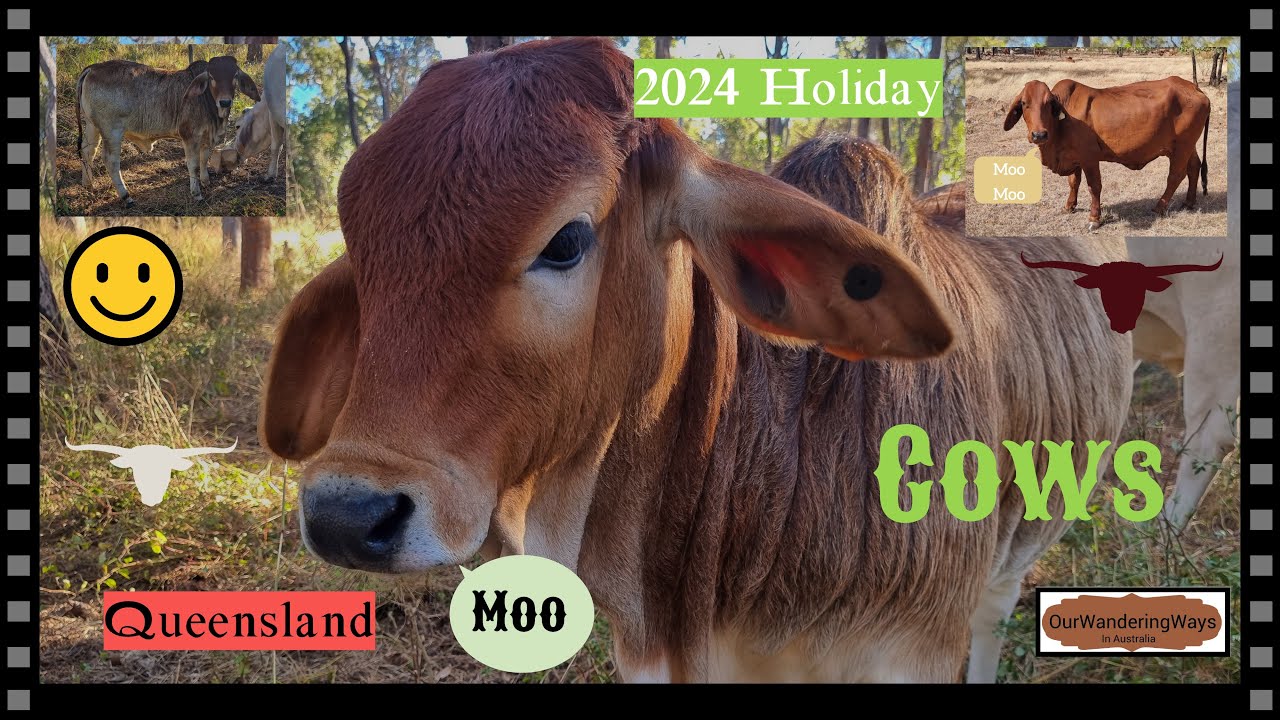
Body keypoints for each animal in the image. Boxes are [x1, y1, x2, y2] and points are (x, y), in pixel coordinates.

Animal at [76, 55, 261, 205]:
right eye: (211, 76)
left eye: (235, 75)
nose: (225, 102)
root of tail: (93, 67)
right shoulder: (190, 135)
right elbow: (193, 164)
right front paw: (196, 193)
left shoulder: (207, 137)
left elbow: (204, 158)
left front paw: (205, 180)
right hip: (112, 131)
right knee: (111, 161)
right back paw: (126, 196)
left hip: (92, 126)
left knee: (88, 151)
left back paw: (88, 184)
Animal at [1003, 77, 1211, 230]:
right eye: (1024, 103)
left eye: (1049, 103)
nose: (1039, 134)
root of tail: (1194, 87)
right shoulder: (1074, 158)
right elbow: (1073, 182)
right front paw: (1069, 206)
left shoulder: (1089, 158)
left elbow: (1094, 187)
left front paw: (1094, 218)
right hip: (1187, 146)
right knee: (1194, 167)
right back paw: (1189, 202)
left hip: (1182, 147)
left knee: (1175, 175)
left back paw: (1160, 206)